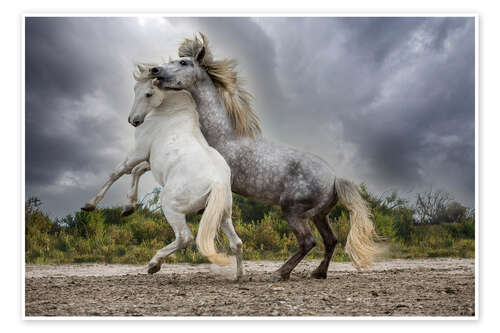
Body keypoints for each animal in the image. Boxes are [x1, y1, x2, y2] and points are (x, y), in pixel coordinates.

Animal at [82, 65, 244, 278]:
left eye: (149, 93)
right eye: (135, 89)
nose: (133, 121)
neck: (171, 113)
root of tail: (216, 183)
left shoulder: (138, 152)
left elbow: (118, 172)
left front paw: (90, 204)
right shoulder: (149, 160)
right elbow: (136, 172)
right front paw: (128, 207)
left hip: (171, 207)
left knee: (185, 237)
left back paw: (154, 264)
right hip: (223, 216)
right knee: (237, 243)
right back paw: (238, 276)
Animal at [142, 33, 378, 278]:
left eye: (183, 62)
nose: (155, 70)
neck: (223, 135)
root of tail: (334, 179)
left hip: (294, 211)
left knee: (308, 241)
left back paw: (281, 272)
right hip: (319, 215)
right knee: (331, 240)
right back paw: (318, 273)